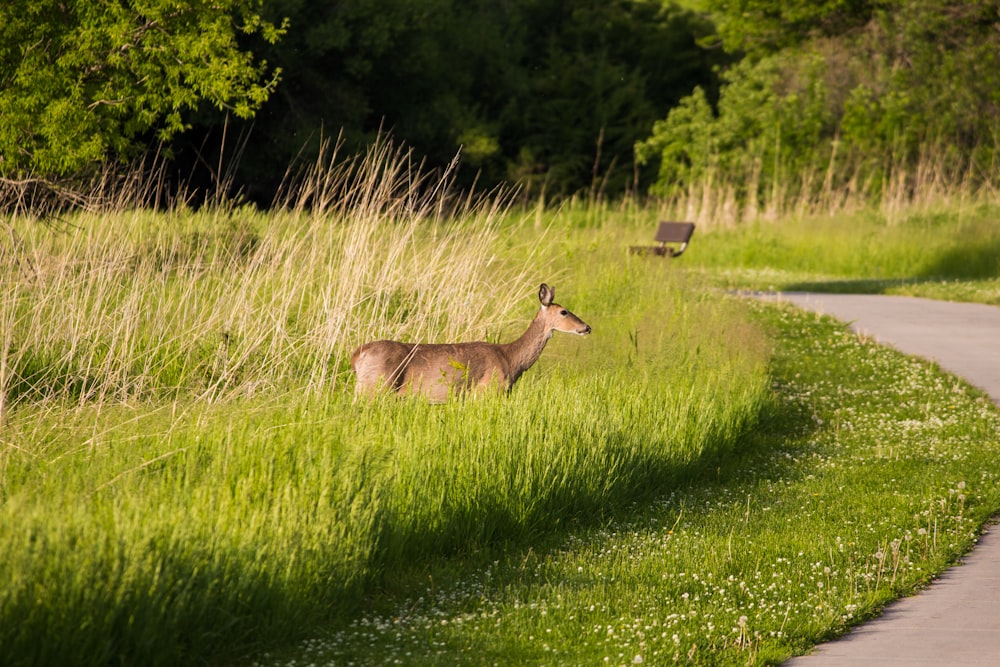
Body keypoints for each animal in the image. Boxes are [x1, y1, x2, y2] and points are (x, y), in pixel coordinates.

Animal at [352, 284, 588, 402]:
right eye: (564, 311)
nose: (587, 327)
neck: (512, 360)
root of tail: (357, 354)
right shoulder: (489, 389)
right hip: (375, 385)